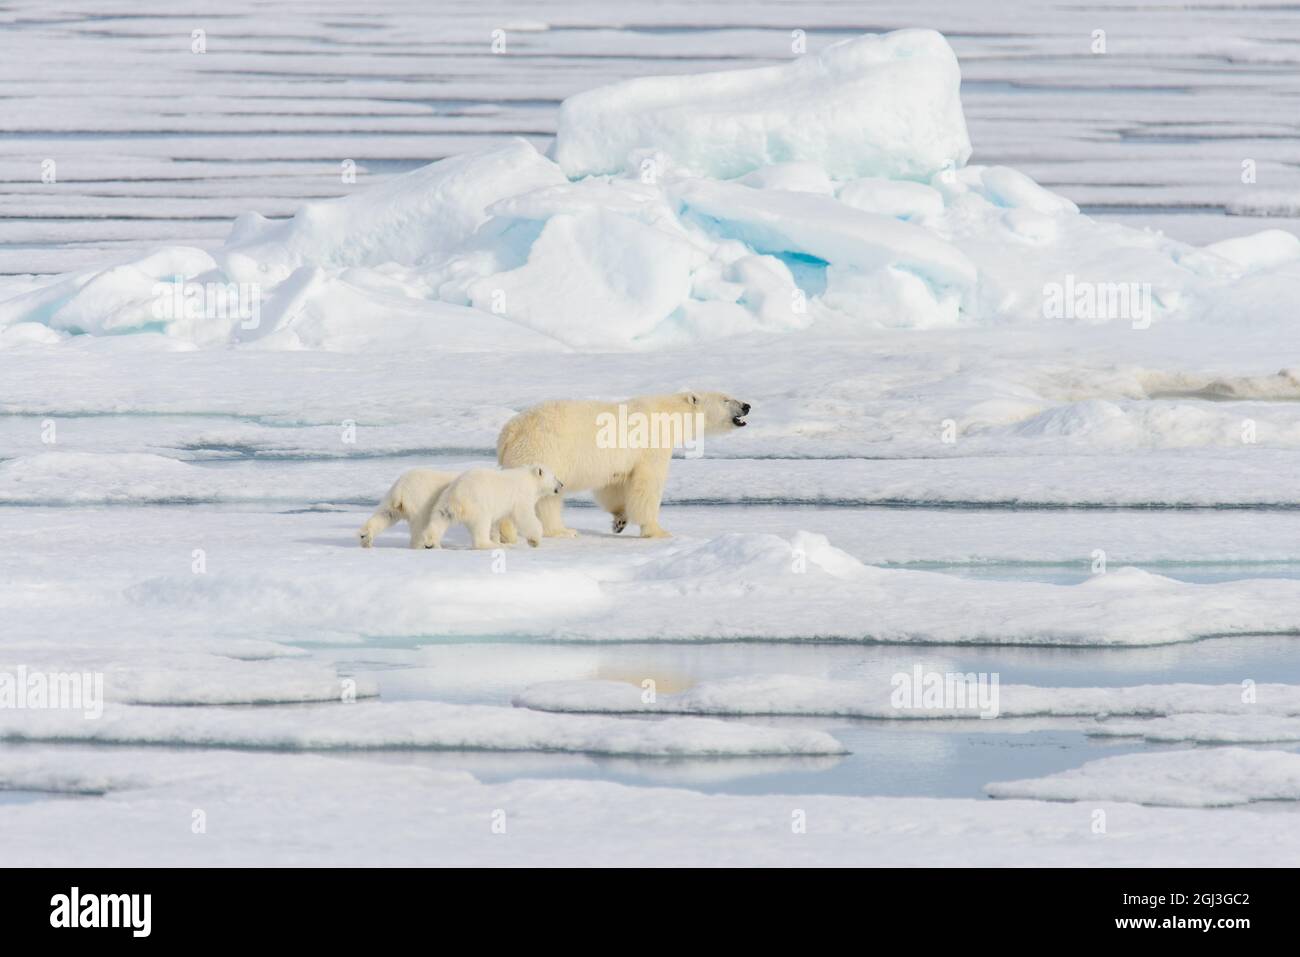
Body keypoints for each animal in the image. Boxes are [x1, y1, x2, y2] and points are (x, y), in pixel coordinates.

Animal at [421, 464, 564, 550]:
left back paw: (430, 542)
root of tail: (457, 496)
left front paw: (498, 540)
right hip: (478, 505)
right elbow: (525, 516)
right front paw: (535, 540)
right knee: (481, 524)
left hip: (443, 501)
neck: (530, 479)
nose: (562, 484)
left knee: (439, 519)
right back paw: (488, 545)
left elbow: (497, 522)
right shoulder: (521, 496)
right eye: (555, 476)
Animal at [495, 391, 750, 541]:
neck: (667, 413)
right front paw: (658, 531)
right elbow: (647, 485)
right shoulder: (651, 446)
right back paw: (561, 530)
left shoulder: (618, 460)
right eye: (726, 399)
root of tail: (509, 432)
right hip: (545, 450)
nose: (747, 405)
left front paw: (620, 520)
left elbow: (614, 484)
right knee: (546, 497)